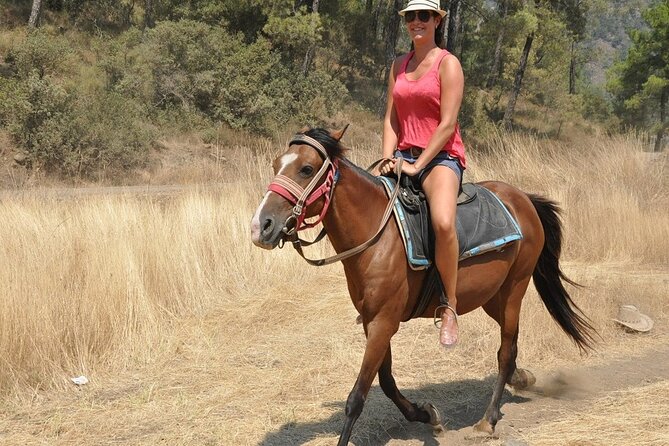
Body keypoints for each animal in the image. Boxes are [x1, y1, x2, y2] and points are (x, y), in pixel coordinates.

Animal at [250, 126, 596, 445]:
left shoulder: (384, 322)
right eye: (276, 164)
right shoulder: (374, 321)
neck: (378, 235)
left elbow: (357, 397)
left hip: (514, 289)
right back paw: (521, 379)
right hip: (491, 298)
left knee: (505, 351)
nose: (260, 226)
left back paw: (488, 420)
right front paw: (427, 415)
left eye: (306, 169)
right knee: (511, 349)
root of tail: (523, 199)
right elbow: (386, 381)